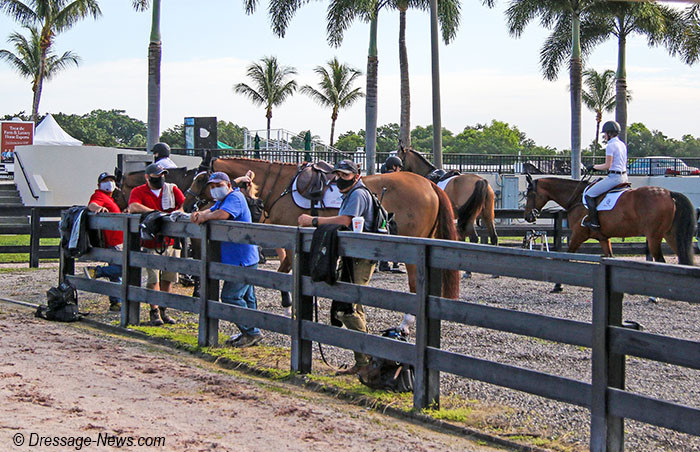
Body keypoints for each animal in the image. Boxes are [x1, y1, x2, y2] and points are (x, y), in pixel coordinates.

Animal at [183, 155, 462, 304]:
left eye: (201, 178)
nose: (186, 203)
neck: (282, 186)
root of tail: (429, 185)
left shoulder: (291, 234)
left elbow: (285, 270)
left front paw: (288, 301)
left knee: (416, 287)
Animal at [524, 174, 696, 272]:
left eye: (529, 194)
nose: (528, 217)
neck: (577, 198)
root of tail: (669, 193)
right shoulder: (603, 238)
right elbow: (609, 256)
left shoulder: (578, 234)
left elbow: (567, 256)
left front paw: (557, 286)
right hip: (670, 235)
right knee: (681, 260)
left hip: (654, 236)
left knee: (661, 261)